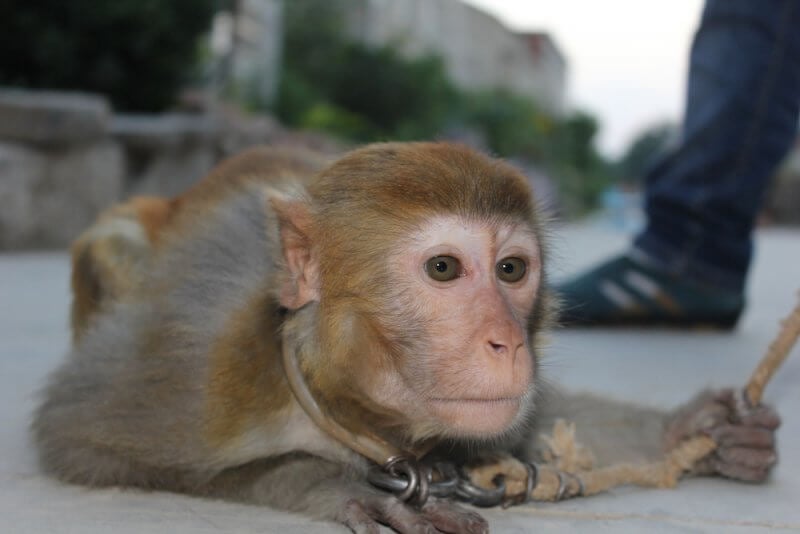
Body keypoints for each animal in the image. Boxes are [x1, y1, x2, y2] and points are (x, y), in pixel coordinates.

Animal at [34, 143, 780, 534]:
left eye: (512, 270)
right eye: (444, 269)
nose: (507, 343)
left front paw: (697, 430)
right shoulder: (203, 373)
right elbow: (76, 436)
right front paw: (332, 486)